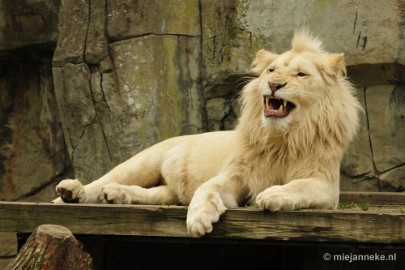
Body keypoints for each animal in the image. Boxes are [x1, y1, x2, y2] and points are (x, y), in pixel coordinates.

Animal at [52, 30, 360, 236]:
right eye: (271, 70)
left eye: (301, 75)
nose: (274, 84)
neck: (281, 138)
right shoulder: (235, 176)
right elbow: (207, 188)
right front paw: (199, 220)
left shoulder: (326, 185)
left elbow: (299, 186)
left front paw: (272, 195)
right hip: (144, 160)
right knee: (105, 178)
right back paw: (72, 192)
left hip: (167, 191)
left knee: (151, 194)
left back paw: (116, 195)